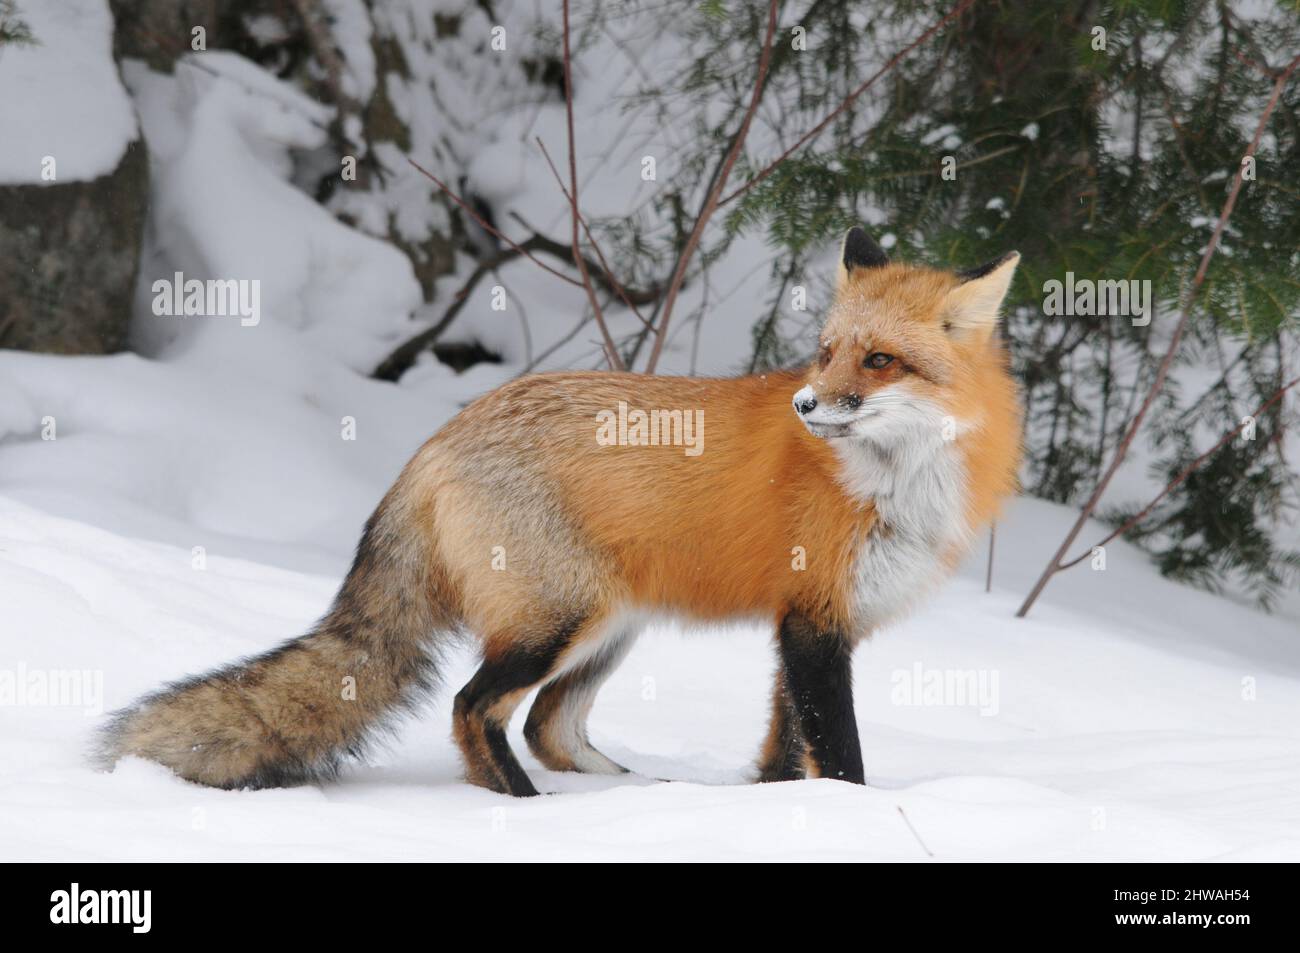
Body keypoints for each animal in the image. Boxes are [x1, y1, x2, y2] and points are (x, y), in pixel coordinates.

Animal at [99, 228, 1023, 796]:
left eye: (879, 360)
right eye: (827, 353)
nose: (804, 404)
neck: (894, 483)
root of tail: (437, 439)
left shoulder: (816, 623)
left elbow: (783, 750)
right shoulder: (812, 624)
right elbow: (840, 755)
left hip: (612, 623)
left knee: (550, 725)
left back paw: (635, 799)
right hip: (560, 618)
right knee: (475, 707)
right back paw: (524, 808)